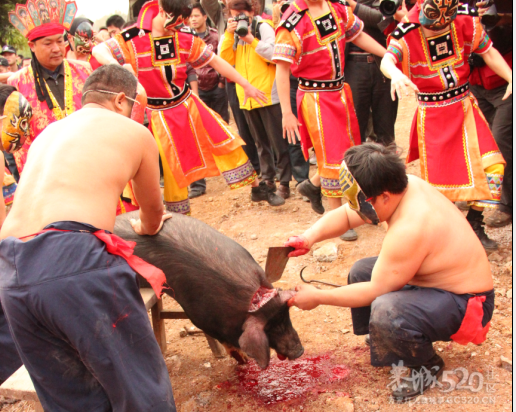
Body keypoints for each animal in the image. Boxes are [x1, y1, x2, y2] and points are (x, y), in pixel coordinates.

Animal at [115, 211, 304, 368]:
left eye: (286, 316)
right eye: (269, 329)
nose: (299, 351)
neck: (254, 299)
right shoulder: (199, 317)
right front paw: (243, 361)